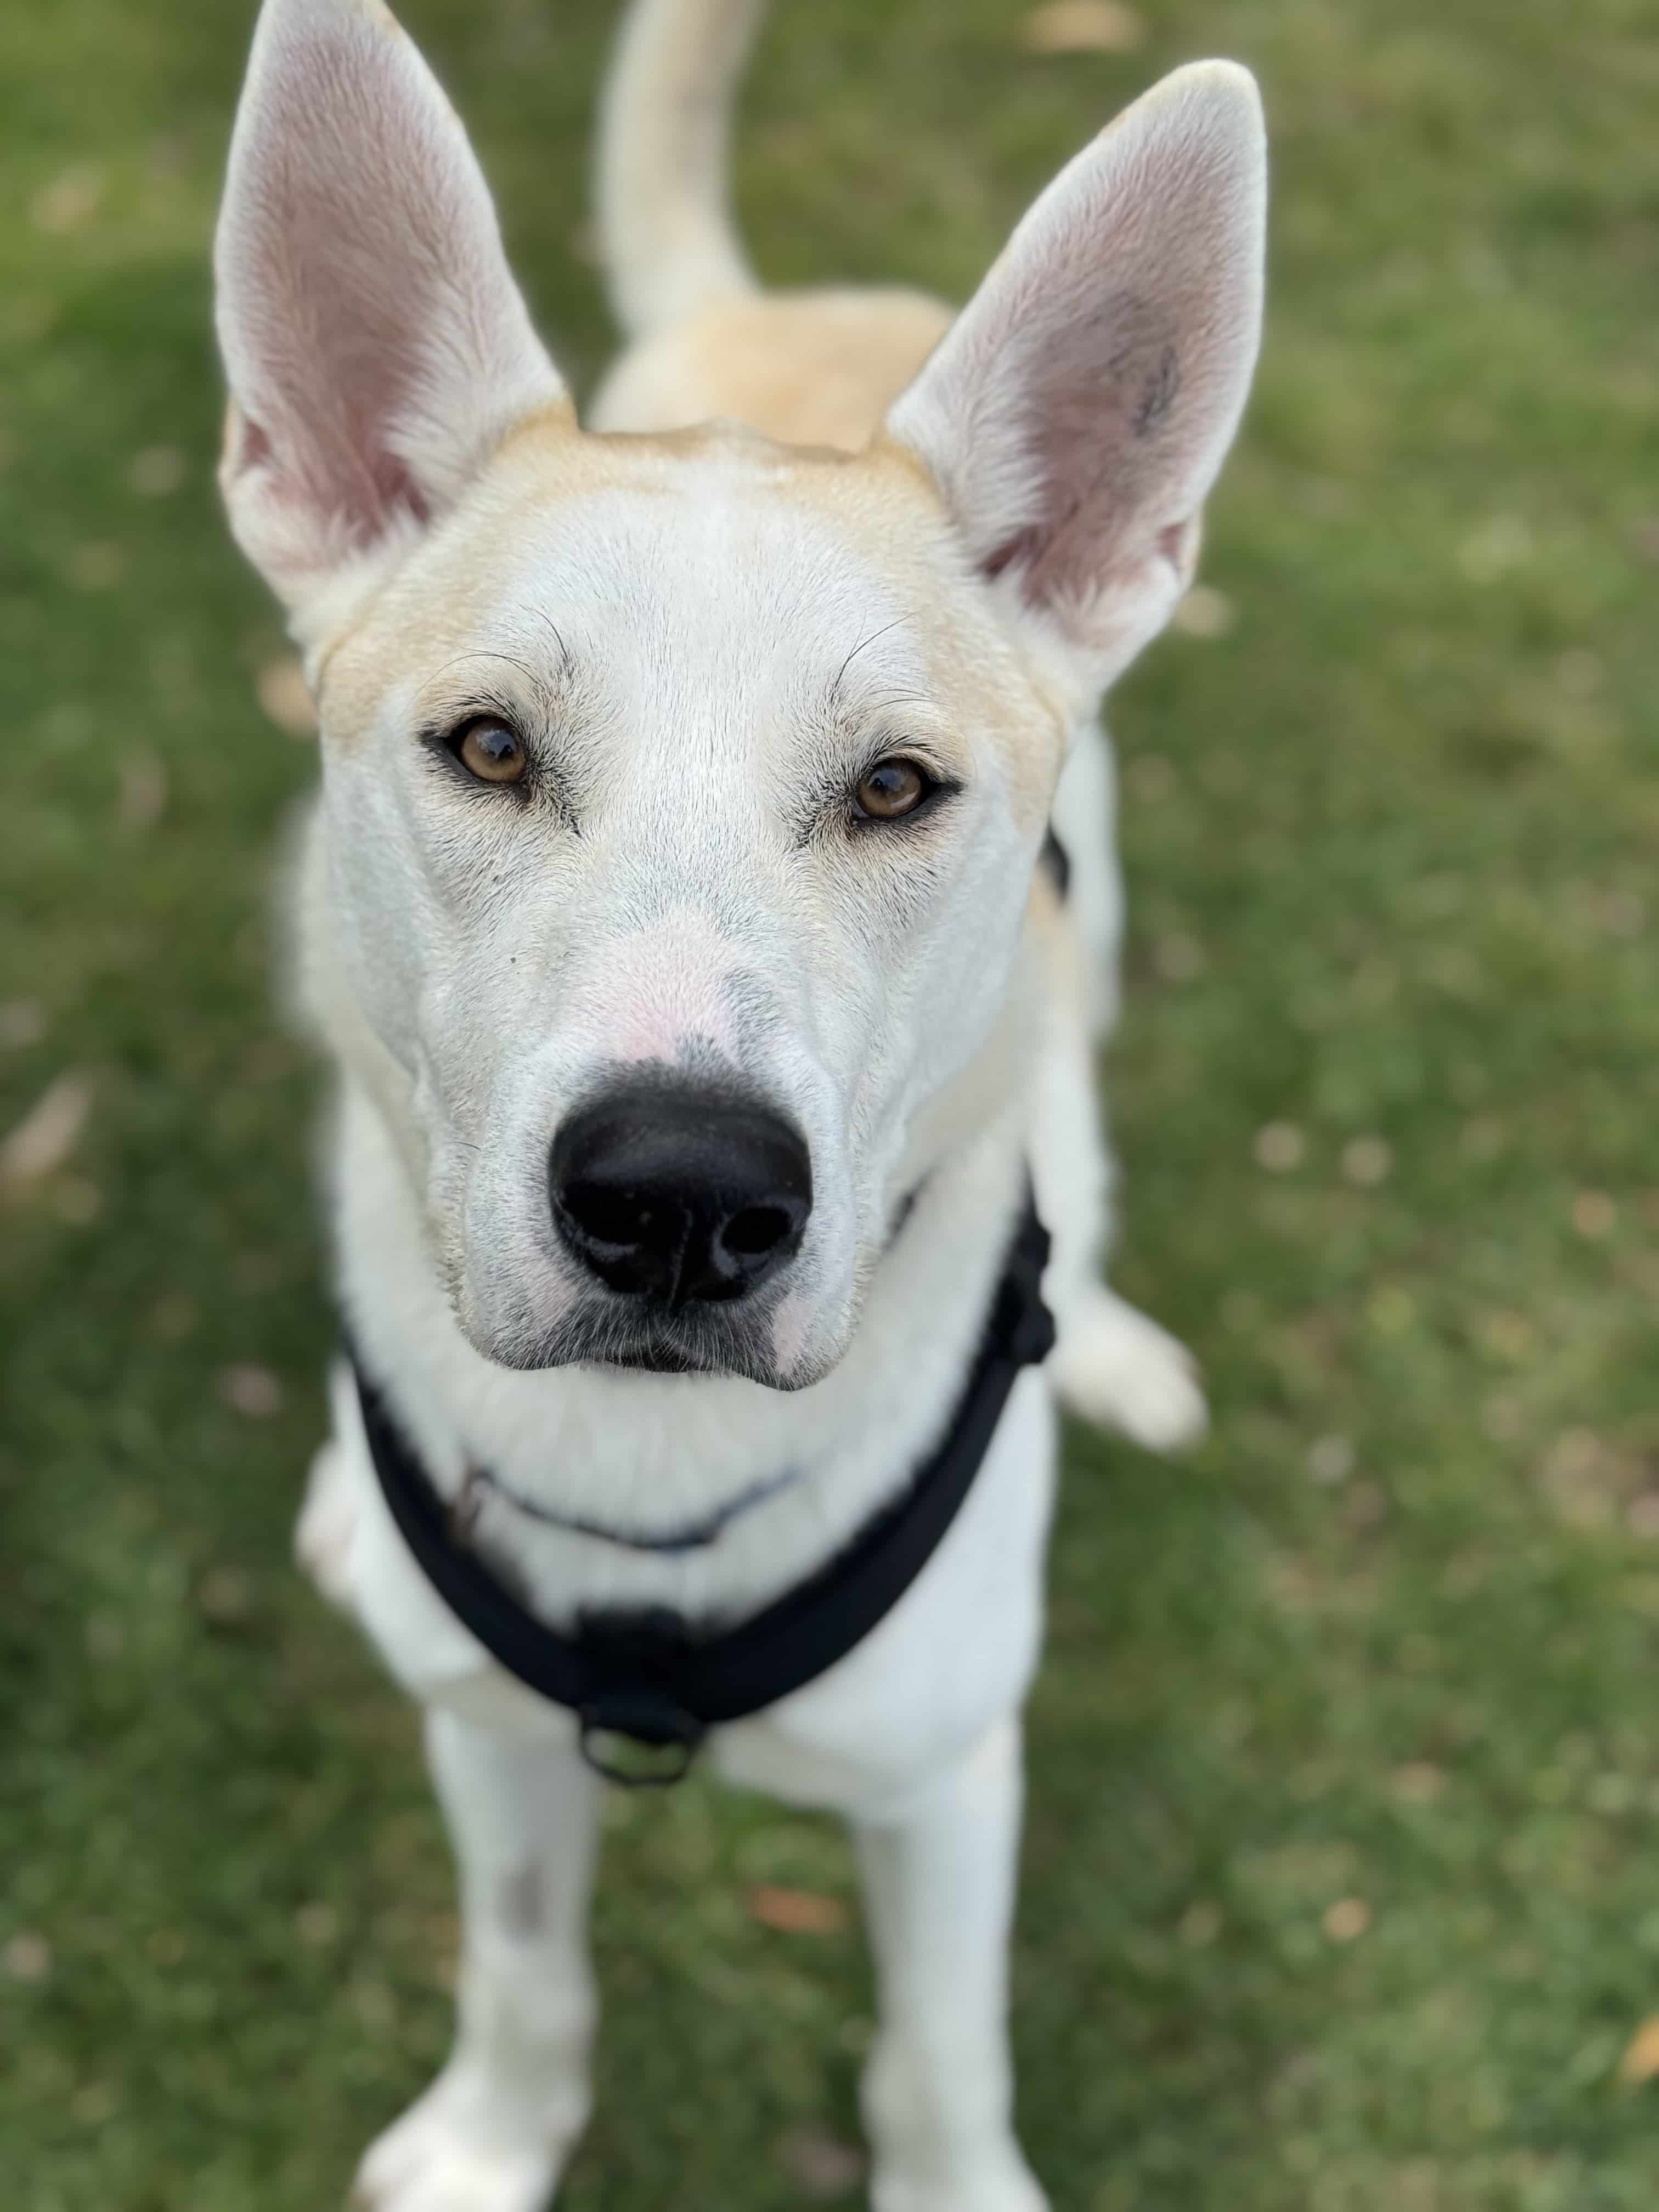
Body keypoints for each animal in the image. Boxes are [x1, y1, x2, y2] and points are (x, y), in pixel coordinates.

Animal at [211, 1, 1265, 2203]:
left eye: (893, 788)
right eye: (489, 748)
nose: (680, 1199)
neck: (650, 1473)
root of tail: (783, 308)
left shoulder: (946, 1779)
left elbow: (940, 2057)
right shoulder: (490, 1739)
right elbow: (525, 1966)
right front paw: (487, 2146)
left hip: (1099, 920)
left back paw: (1111, 1338)